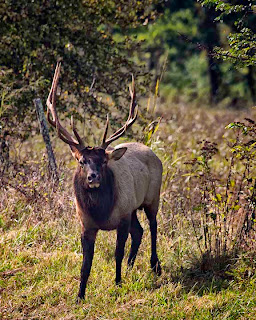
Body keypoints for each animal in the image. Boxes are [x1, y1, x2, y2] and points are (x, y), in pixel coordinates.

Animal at [46, 62, 162, 300]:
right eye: (82, 161)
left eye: (103, 161)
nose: (94, 177)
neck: (101, 212)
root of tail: (152, 152)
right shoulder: (86, 224)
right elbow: (86, 263)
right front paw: (80, 295)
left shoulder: (122, 216)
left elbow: (117, 252)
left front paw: (117, 283)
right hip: (134, 207)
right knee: (139, 232)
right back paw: (130, 267)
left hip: (152, 196)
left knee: (153, 226)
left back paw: (155, 266)